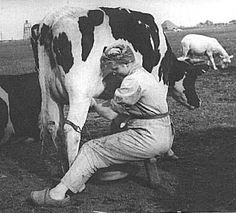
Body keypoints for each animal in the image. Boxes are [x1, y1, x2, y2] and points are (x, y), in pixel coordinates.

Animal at [30, 5, 208, 171]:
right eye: (191, 77)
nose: (197, 102)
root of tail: (51, 20)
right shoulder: (160, 82)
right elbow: (165, 116)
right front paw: (169, 152)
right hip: (79, 92)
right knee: (71, 130)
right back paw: (73, 167)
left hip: (49, 92)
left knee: (54, 126)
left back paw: (63, 168)